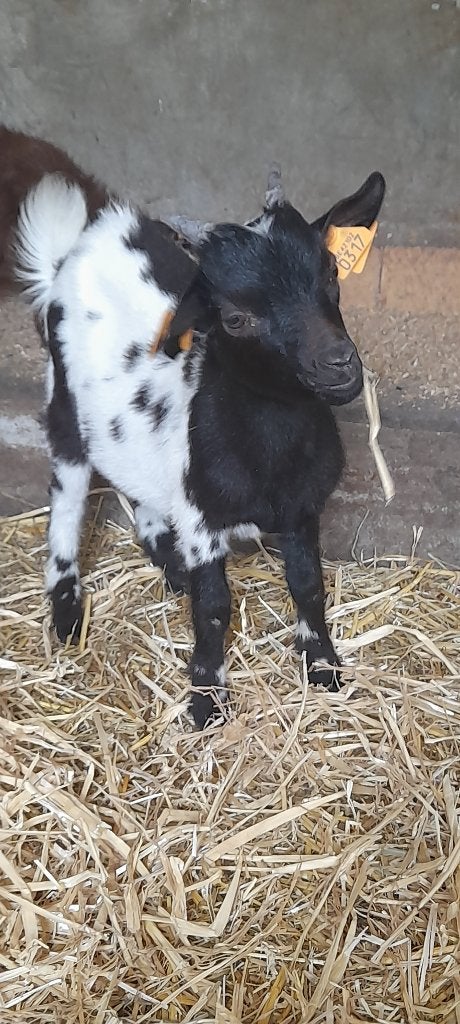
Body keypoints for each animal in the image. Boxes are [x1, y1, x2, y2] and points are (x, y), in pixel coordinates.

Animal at [14, 166, 385, 728]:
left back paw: (170, 566)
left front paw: (322, 665)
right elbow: (213, 609)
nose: (339, 364)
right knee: (67, 502)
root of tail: (83, 244)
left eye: (332, 274)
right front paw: (207, 698)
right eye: (235, 317)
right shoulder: (201, 518)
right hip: (65, 408)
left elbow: (308, 585)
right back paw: (66, 611)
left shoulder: (301, 509)